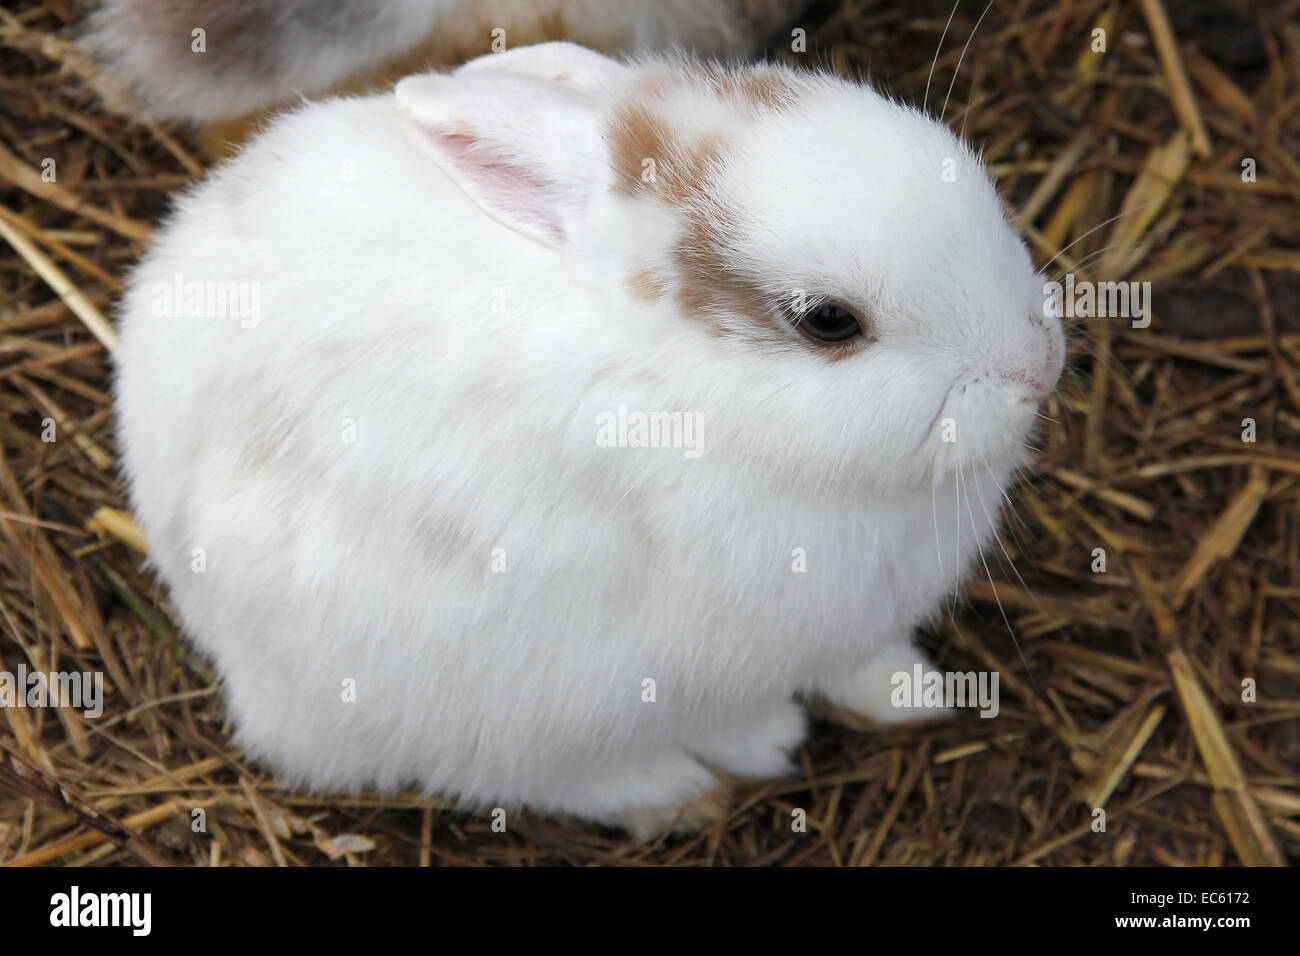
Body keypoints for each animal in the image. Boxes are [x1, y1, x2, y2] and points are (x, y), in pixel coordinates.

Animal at [113, 42, 1065, 837]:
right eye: (828, 321)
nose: (1038, 365)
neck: (691, 385)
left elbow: (857, 667)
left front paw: (914, 694)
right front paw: (771, 741)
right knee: (517, 772)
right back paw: (677, 794)